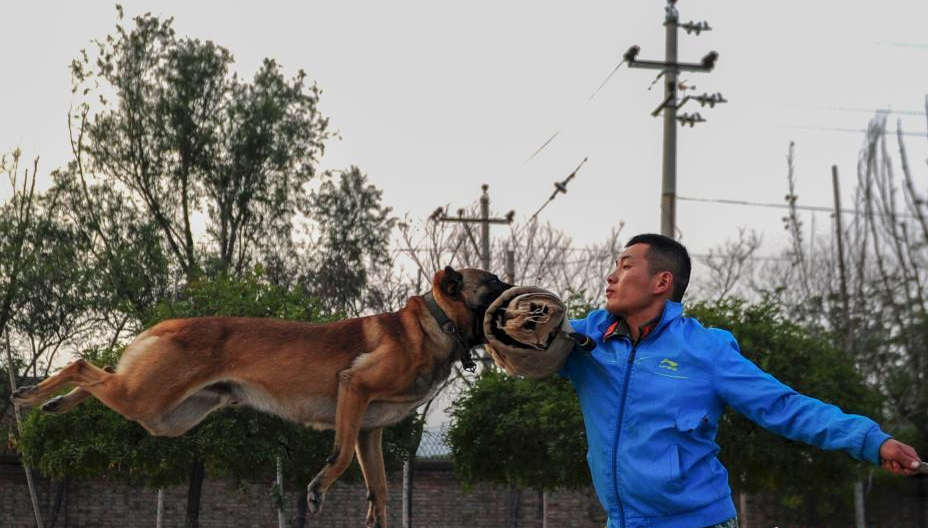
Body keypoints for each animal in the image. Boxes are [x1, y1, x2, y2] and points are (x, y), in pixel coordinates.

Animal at [10, 268, 512, 528]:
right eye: (492, 282)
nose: (522, 296)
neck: (434, 326)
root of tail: (166, 325)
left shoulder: (369, 432)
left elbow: (381, 491)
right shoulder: (353, 389)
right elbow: (339, 455)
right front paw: (316, 490)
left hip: (165, 416)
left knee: (99, 376)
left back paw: (55, 403)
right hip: (147, 400)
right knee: (81, 364)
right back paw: (33, 395)